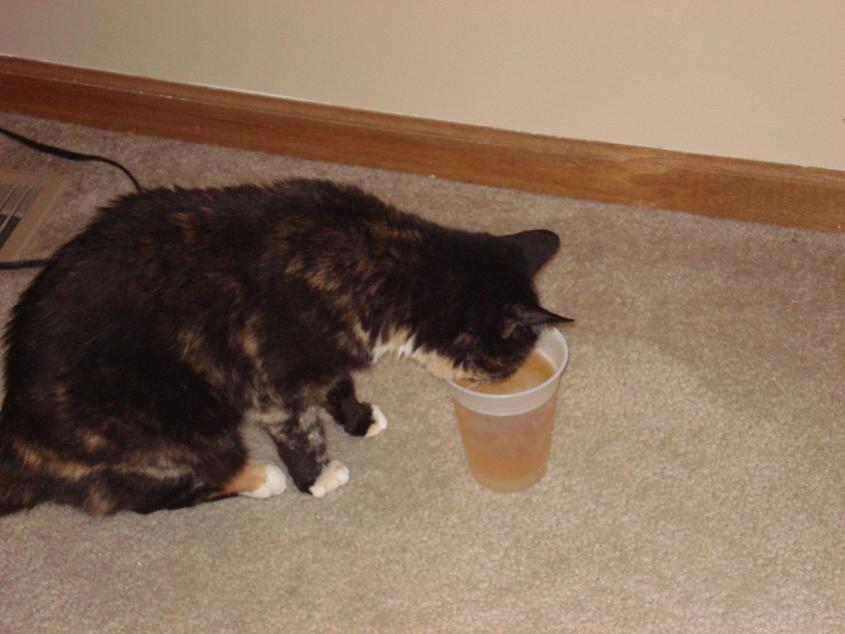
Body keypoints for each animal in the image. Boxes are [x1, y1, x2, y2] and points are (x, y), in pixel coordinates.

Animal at [0, 178, 570, 515]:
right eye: (508, 360)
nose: (503, 385)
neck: (387, 265)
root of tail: (21, 443)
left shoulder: (327, 353)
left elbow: (338, 386)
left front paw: (359, 419)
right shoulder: (274, 378)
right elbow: (300, 431)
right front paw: (315, 478)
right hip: (174, 413)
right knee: (153, 492)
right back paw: (260, 477)